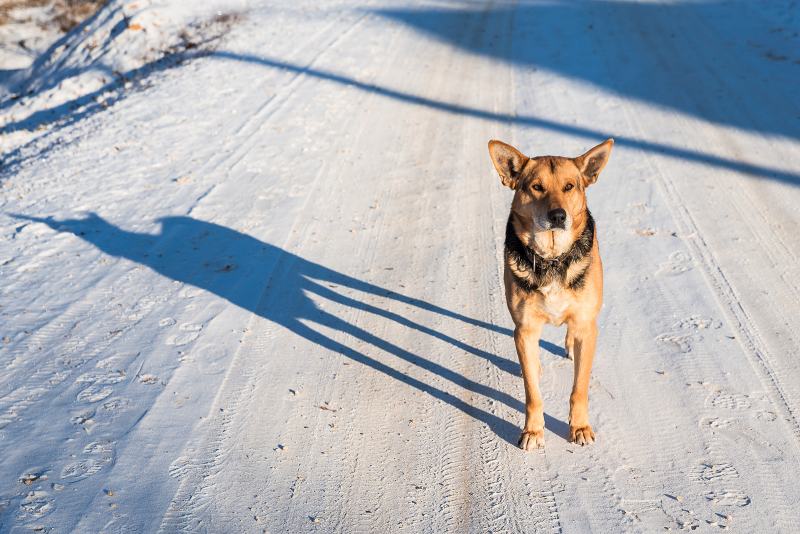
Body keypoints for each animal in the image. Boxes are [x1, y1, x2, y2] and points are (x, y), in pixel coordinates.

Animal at [488, 139, 612, 452]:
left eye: (569, 186)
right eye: (536, 187)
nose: (558, 216)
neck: (553, 258)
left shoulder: (586, 326)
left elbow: (579, 388)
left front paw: (579, 427)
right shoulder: (524, 329)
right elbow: (532, 392)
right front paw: (533, 431)